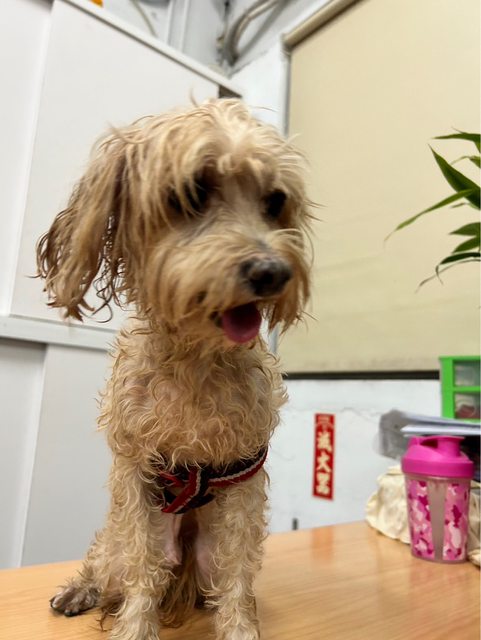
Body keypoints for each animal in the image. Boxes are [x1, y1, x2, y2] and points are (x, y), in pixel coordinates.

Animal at [37, 98, 311, 640]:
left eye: (274, 201)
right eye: (192, 192)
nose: (273, 272)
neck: (196, 361)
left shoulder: (244, 474)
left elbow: (237, 574)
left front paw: (240, 629)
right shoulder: (136, 472)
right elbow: (142, 569)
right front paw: (134, 629)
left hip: (204, 554)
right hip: (120, 543)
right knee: (109, 562)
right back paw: (81, 590)